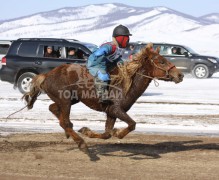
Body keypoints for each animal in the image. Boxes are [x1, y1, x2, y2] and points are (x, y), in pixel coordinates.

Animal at [22, 45, 183, 155]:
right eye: (161, 61)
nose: (180, 75)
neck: (124, 83)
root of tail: (46, 75)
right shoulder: (116, 109)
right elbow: (132, 124)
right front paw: (118, 133)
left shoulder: (111, 113)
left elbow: (107, 134)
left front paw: (87, 131)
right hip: (65, 100)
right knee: (64, 121)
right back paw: (81, 143)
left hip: (71, 99)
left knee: (53, 108)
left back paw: (70, 133)